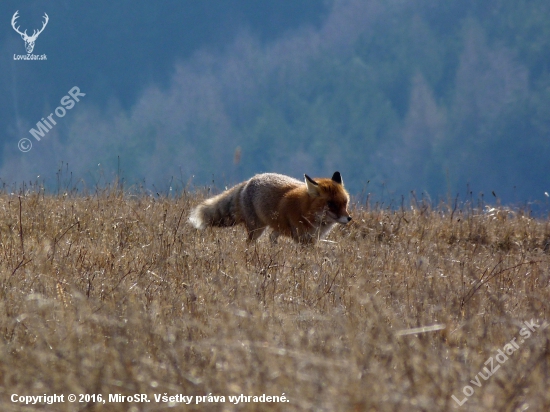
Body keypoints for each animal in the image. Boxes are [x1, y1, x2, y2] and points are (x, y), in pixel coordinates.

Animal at [191, 170, 354, 241]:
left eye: (345, 203)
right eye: (331, 204)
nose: (349, 219)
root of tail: (249, 180)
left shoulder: (312, 241)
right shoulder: (301, 240)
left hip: (276, 228)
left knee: (271, 237)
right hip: (256, 229)